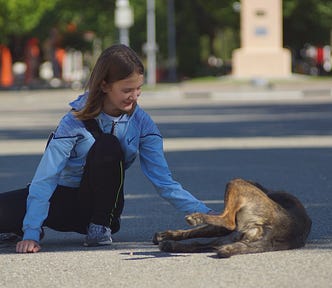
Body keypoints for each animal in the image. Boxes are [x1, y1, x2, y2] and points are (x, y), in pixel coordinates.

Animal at [153, 179, 312, 258]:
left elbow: (195, 231)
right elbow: (194, 233)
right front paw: (165, 236)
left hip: (236, 183)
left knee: (228, 221)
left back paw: (195, 218)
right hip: (230, 239)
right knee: (201, 244)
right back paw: (172, 245)